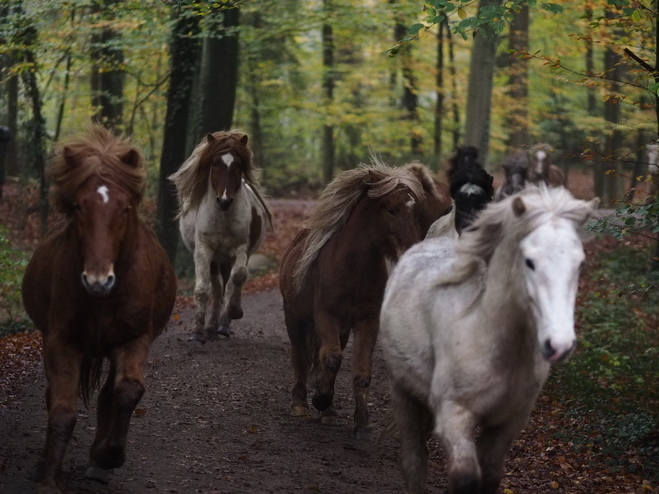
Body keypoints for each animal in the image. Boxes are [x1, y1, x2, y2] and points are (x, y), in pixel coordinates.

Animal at [21, 126, 177, 490]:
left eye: (124, 208)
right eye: (79, 206)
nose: (97, 280)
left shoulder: (134, 339)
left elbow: (127, 391)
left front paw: (108, 456)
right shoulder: (61, 341)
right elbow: (62, 411)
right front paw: (48, 479)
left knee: (110, 394)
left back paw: (98, 463)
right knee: (55, 395)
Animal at [171, 129, 274, 342]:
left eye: (238, 165)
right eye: (215, 163)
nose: (224, 201)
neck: (223, 217)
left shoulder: (240, 250)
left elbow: (238, 277)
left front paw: (235, 311)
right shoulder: (204, 250)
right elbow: (203, 289)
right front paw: (197, 332)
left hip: (228, 257)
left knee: (230, 283)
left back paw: (223, 326)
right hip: (216, 259)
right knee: (217, 288)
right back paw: (211, 327)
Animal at [280, 160, 426, 434]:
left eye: (415, 212)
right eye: (391, 210)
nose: (411, 251)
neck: (353, 268)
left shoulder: (367, 319)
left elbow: (361, 372)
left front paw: (361, 419)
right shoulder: (325, 315)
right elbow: (331, 358)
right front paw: (320, 399)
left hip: (342, 329)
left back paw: (328, 411)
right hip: (294, 318)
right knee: (300, 357)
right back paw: (300, 403)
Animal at [378, 186, 600, 494]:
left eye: (579, 263)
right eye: (529, 261)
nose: (559, 345)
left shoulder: (507, 424)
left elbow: (490, 477)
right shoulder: (455, 417)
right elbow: (465, 479)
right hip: (403, 393)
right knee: (413, 461)